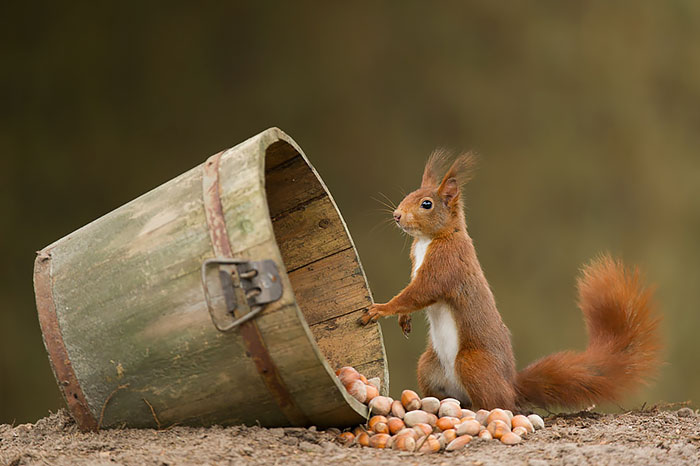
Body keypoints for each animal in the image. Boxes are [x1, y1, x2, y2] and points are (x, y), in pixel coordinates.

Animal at [359, 150, 661, 411]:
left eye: (426, 204)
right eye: (408, 195)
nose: (397, 215)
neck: (428, 240)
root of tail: (512, 385)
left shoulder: (446, 265)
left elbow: (419, 293)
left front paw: (381, 309)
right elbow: (411, 295)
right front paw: (403, 320)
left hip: (472, 363)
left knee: (499, 403)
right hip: (428, 366)